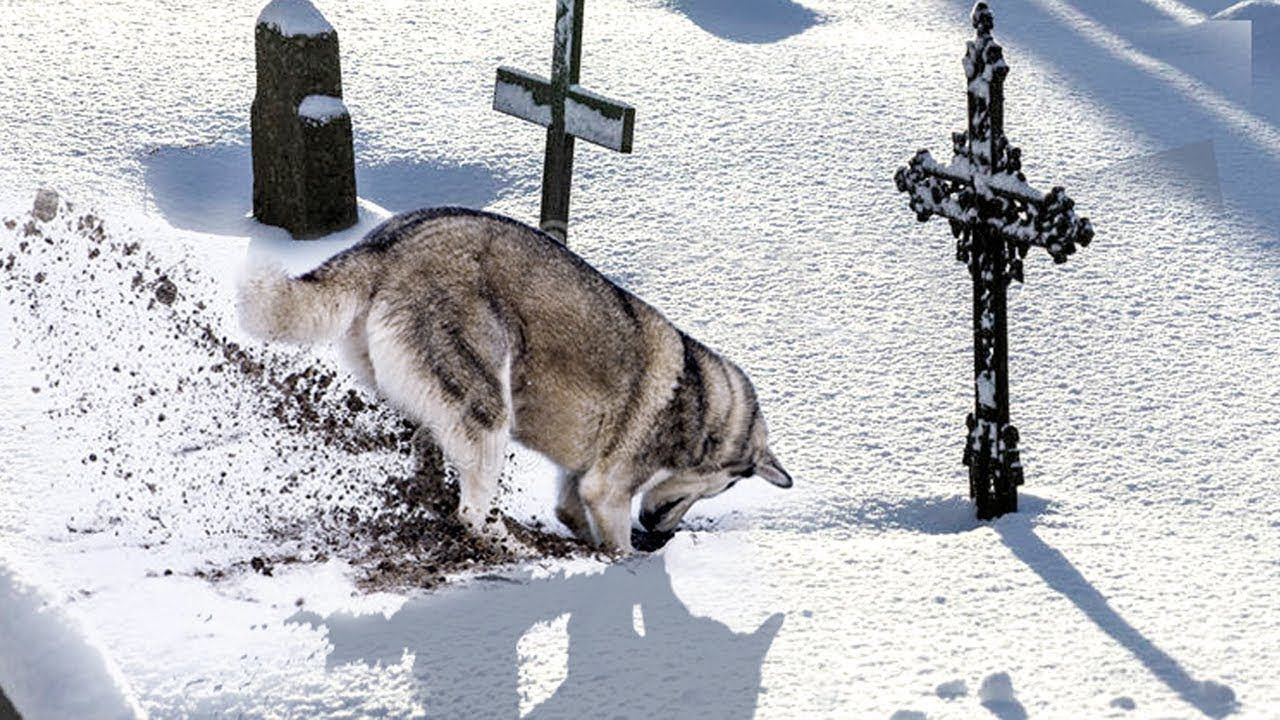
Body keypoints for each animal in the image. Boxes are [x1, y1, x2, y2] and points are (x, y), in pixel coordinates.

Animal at [237, 208, 790, 554]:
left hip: (438, 408)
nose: (660, 534)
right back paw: (511, 543)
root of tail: (387, 244)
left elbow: (571, 514)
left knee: (435, 471)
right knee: (473, 514)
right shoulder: (608, 491)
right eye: (723, 486)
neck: (700, 403)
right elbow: (616, 544)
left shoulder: (580, 483)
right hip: (487, 411)